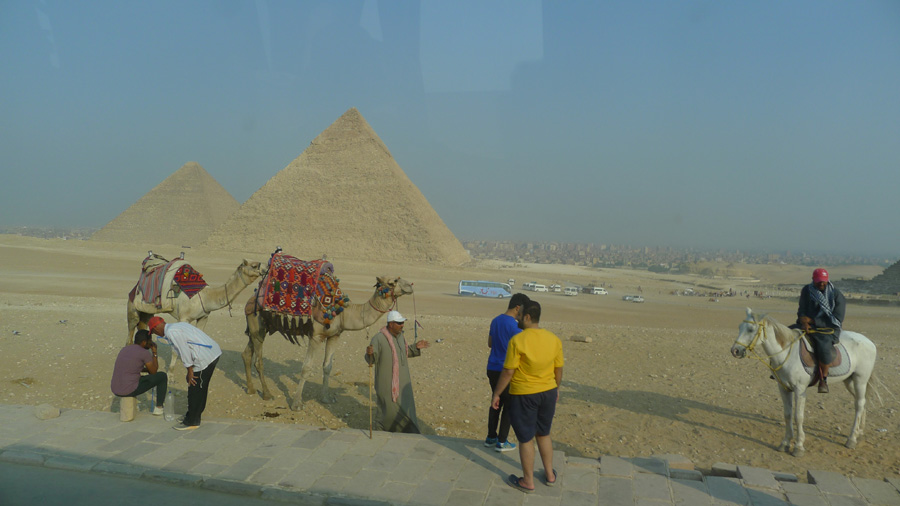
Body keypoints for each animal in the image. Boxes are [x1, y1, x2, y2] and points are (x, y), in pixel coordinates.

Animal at [127, 256, 268, 344]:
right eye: (254, 265)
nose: (266, 268)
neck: (205, 297)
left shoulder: (203, 317)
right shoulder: (183, 318)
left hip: (148, 312)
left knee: (143, 326)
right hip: (133, 306)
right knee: (131, 331)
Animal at [246, 276, 414, 412]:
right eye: (393, 281)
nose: (411, 285)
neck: (344, 313)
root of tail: (252, 297)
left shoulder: (334, 336)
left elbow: (327, 367)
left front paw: (326, 398)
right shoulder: (316, 336)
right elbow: (306, 368)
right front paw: (296, 404)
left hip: (262, 326)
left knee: (247, 354)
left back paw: (251, 389)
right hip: (257, 323)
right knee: (258, 361)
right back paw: (267, 394)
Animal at [732, 306, 880, 456]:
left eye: (751, 329)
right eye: (739, 327)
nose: (735, 350)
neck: (787, 354)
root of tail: (869, 342)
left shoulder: (800, 389)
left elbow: (798, 416)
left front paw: (798, 446)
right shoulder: (783, 388)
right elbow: (787, 414)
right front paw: (785, 443)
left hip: (860, 380)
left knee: (859, 404)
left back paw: (851, 439)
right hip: (849, 381)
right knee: (862, 401)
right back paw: (859, 432)